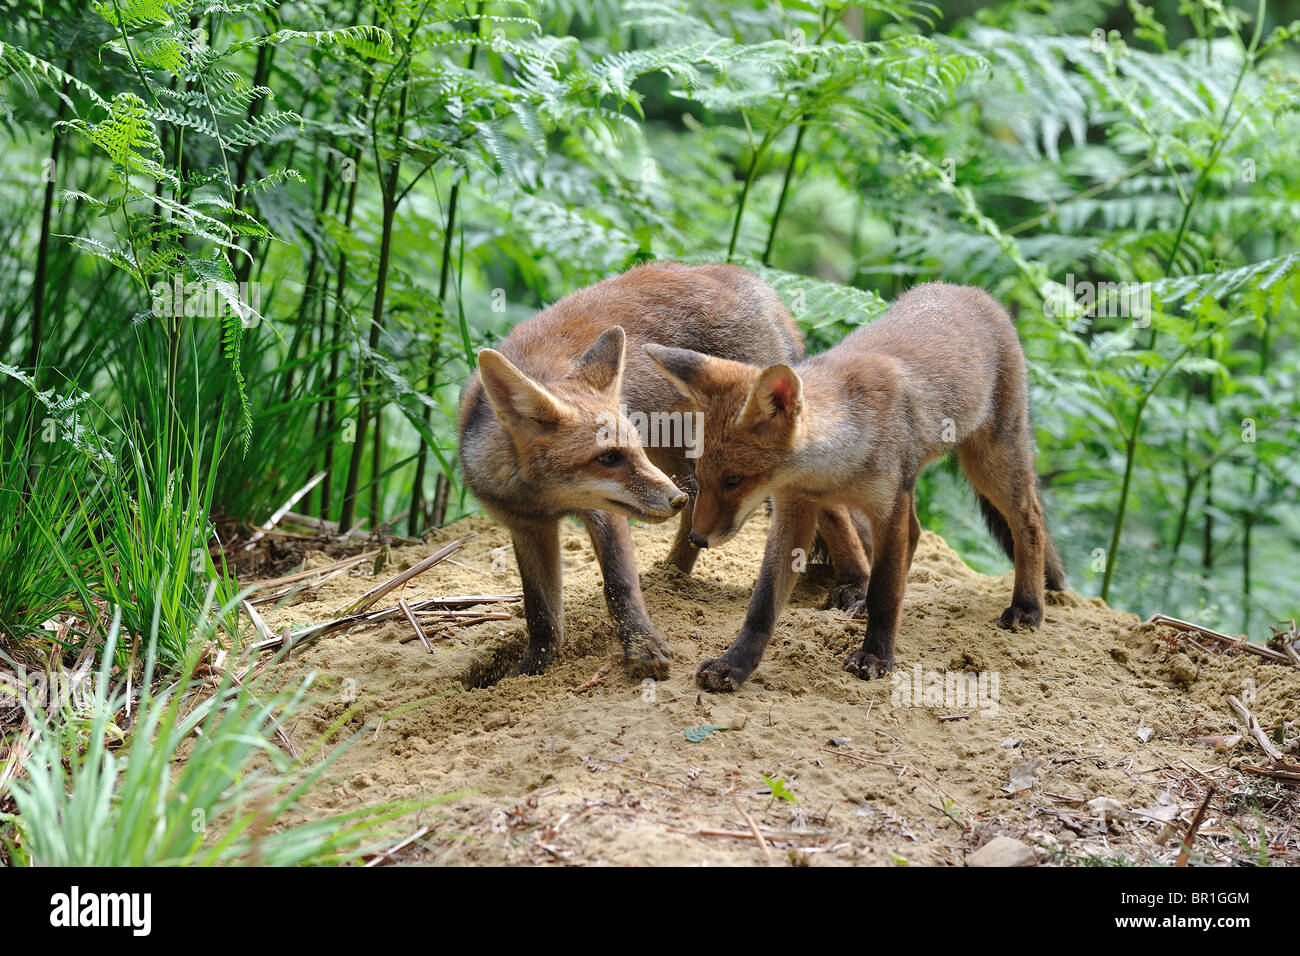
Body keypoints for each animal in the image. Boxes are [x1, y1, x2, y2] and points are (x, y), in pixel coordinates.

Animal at [458, 262, 871, 680]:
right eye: (609, 457)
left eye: (629, 449)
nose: (673, 501)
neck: (541, 498)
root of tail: (747, 278)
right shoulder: (526, 526)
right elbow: (540, 611)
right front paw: (531, 669)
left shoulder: (606, 514)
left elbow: (618, 585)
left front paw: (642, 648)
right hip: (686, 459)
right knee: (697, 510)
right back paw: (672, 573)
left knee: (832, 510)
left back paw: (855, 584)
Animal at [645, 281, 1068, 692]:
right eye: (700, 476)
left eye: (734, 480)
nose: (697, 538)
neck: (832, 473)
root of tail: (972, 291)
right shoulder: (795, 509)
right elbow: (763, 606)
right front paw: (734, 664)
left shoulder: (887, 505)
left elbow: (884, 592)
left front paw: (875, 657)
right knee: (918, 531)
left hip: (989, 461)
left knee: (1029, 520)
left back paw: (1028, 606)